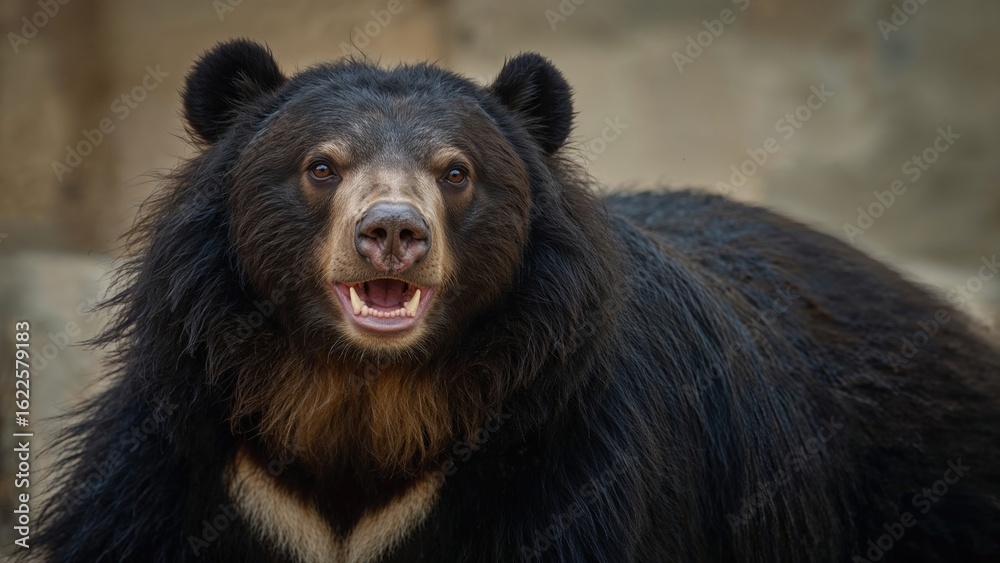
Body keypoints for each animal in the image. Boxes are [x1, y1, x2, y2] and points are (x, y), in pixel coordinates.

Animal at [28, 39, 1000, 562]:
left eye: (455, 172)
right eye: (321, 167)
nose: (392, 232)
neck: (362, 397)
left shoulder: (568, 468)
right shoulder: (181, 457)